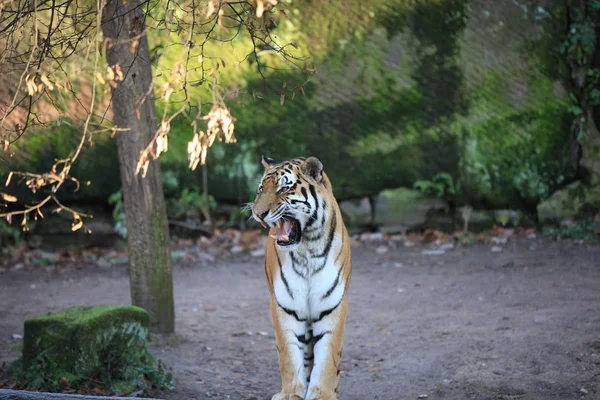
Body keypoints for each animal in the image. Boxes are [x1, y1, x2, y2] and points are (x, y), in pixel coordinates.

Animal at [252, 155, 354, 400]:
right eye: (261, 189)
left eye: (284, 188)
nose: (257, 214)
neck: (307, 248)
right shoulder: (285, 305)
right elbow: (289, 355)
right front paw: (291, 394)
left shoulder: (333, 305)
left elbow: (328, 356)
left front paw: (323, 394)